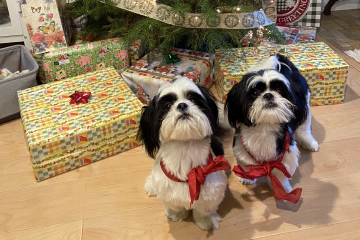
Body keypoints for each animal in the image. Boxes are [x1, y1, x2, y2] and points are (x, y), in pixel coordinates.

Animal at [138, 77, 231, 231]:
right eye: (168, 105)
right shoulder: (168, 191)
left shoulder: (212, 190)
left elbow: (204, 210)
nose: (182, 105)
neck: (185, 149)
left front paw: (206, 221)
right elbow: (175, 206)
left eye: (193, 100)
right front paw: (176, 215)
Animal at [224, 54, 320, 204]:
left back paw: (309, 142)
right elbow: (247, 163)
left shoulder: (286, 153)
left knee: (304, 128)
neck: (265, 127)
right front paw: (247, 177)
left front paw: (282, 186)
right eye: (255, 92)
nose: (268, 94)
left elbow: (281, 173)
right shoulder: (242, 146)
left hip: (305, 104)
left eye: (280, 91)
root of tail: (280, 58)